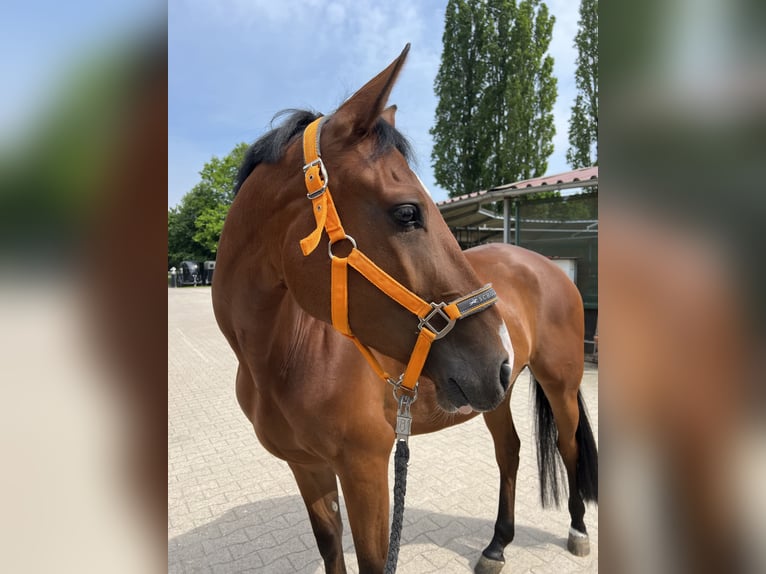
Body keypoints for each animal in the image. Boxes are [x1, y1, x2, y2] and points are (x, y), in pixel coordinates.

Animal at [212, 44, 597, 573]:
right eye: (408, 212)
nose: (496, 355)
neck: (285, 357)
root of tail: (546, 265)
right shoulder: (307, 469)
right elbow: (330, 548)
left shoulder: (367, 471)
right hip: (498, 394)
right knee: (510, 452)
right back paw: (496, 546)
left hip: (557, 382)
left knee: (568, 445)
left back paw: (578, 529)